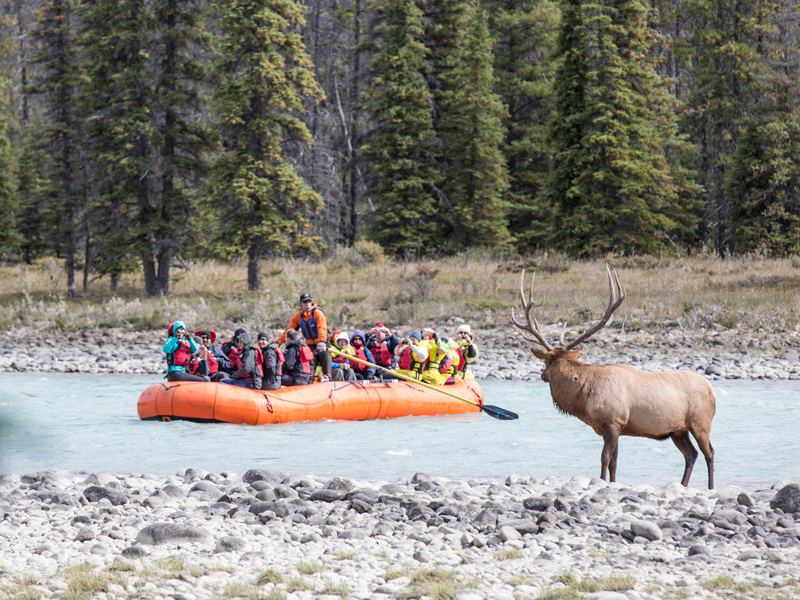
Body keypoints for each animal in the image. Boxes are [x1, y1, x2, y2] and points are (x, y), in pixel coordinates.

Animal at [512, 266, 720, 488]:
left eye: (546, 363)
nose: (542, 375)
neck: (585, 398)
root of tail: (713, 391)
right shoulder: (616, 427)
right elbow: (614, 462)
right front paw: (611, 483)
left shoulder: (613, 421)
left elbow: (604, 458)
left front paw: (601, 481)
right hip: (678, 430)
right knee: (691, 454)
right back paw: (683, 484)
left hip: (700, 422)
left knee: (709, 453)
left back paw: (710, 487)